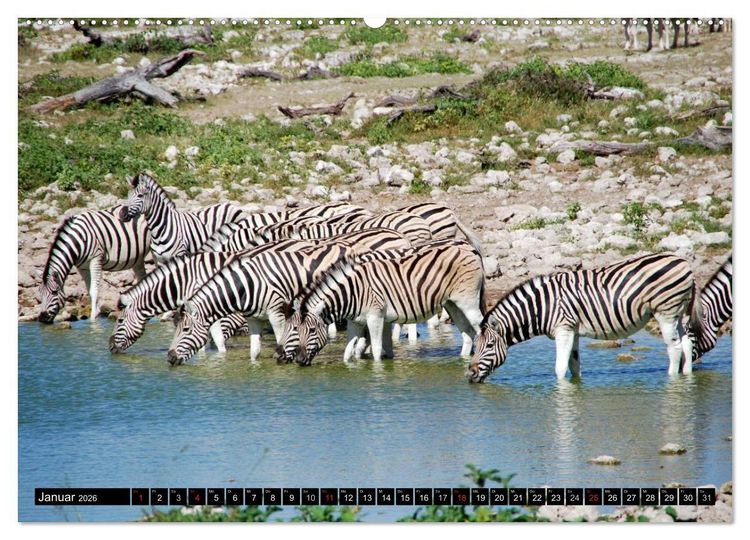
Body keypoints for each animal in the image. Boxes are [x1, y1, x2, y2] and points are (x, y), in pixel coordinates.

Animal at [118, 172, 246, 263]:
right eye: (128, 195)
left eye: (140, 195)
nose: (121, 214)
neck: (159, 230)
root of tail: (230, 205)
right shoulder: (158, 260)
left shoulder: (179, 255)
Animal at [167, 229, 413, 365]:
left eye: (185, 330)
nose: (169, 358)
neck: (247, 284)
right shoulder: (254, 318)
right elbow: (254, 351)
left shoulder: (276, 312)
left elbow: (280, 339)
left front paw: (284, 359)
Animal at [276, 239, 486, 366]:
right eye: (296, 330)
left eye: (310, 330)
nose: (300, 360)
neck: (352, 292)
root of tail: (468, 246)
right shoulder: (355, 321)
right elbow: (348, 352)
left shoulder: (375, 317)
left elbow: (377, 350)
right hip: (453, 304)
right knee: (467, 334)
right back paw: (462, 360)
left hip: (468, 301)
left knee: (482, 327)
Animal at [467, 253, 703, 383]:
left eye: (489, 346)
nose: (470, 375)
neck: (542, 306)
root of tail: (685, 264)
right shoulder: (573, 331)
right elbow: (574, 364)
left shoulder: (563, 329)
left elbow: (560, 368)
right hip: (678, 314)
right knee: (686, 344)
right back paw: (687, 377)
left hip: (666, 312)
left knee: (674, 348)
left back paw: (671, 379)